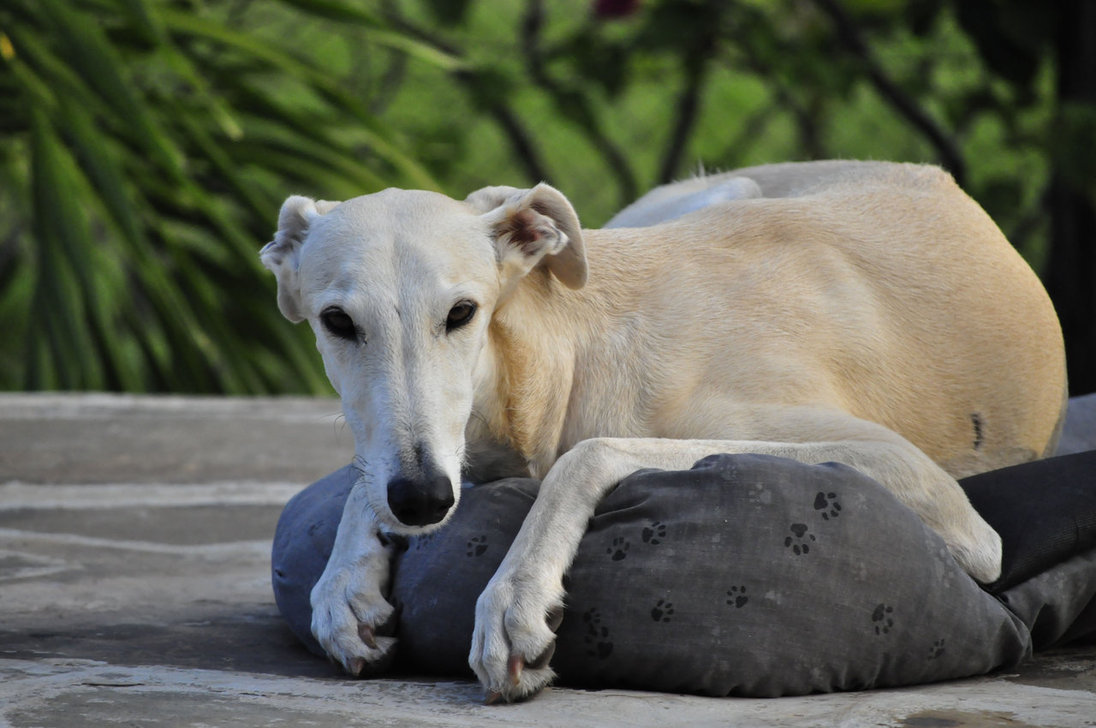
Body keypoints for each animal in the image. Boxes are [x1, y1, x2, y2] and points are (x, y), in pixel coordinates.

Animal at [260, 158, 1065, 701]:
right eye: (338, 322)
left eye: (462, 312)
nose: (423, 500)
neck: (579, 343)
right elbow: (365, 476)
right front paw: (343, 582)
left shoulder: (937, 494)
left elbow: (587, 452)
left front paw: (514, 597)